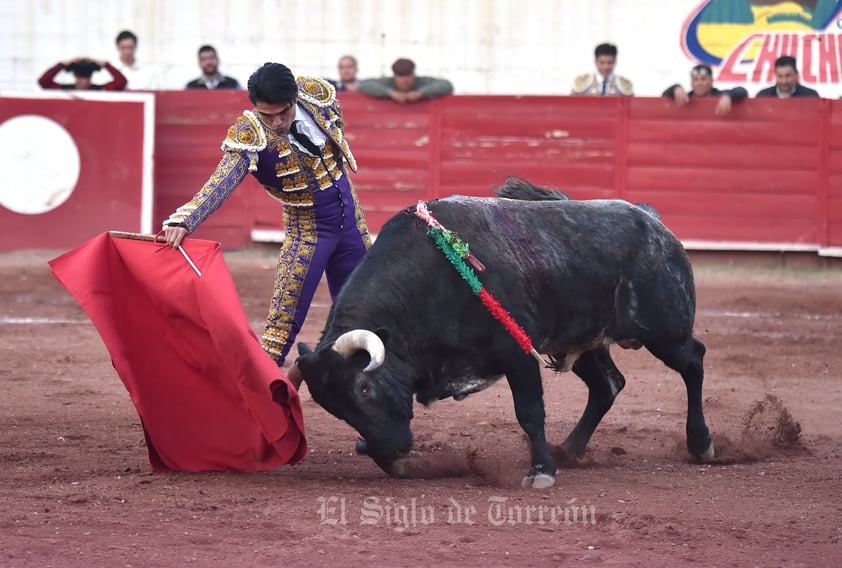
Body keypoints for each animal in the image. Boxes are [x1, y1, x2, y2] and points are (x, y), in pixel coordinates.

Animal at [292, 193, 712, 486]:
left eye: (364, 387)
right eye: (335, 408)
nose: (391, 448)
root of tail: (651, 220)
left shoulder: (517, 353)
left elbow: (529, 411)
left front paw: (541, 472)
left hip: (665, 331)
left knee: (693, 362)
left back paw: (701, 444)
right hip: (584, 341)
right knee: (607, 386)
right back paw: (570, 449)